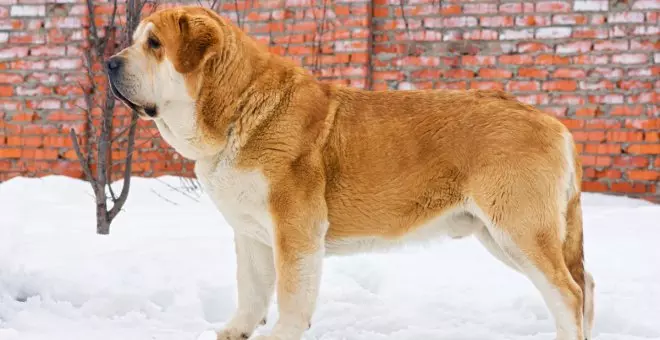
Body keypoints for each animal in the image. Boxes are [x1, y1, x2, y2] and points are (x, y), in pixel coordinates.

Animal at [107, 5, 592, 340]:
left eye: (154, 44)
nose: (110, 61)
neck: (236, 110)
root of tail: (554, 123)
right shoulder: (250, 234)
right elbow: (252, 288)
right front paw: (236, 330)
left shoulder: (296, 231)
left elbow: (291, 294)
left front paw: (280, 334)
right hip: (500, 235)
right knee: (583, 284)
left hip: (519, 230)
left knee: (568, 293)